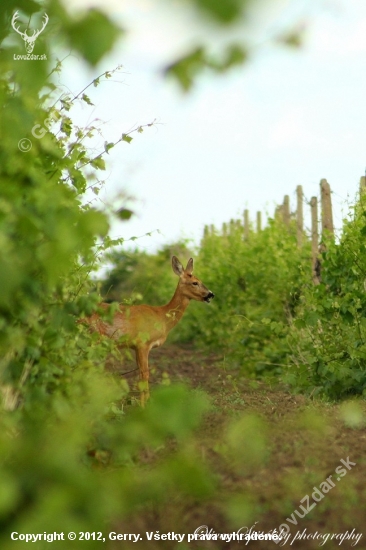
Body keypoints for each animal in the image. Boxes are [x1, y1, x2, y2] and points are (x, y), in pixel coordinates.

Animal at [83, 258, 214, 406]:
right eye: (195, 282)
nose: (211, 294)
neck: (162, 317)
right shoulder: (142, 343)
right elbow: (144, 374)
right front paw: (144, 406)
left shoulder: (135, 346)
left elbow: (141, 374)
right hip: (92, 337)